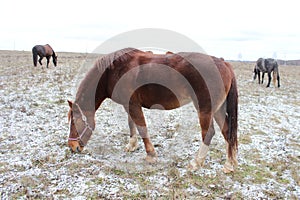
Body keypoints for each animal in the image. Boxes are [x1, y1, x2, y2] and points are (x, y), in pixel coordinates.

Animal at [68, 47, 239, 173]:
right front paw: (132, 145)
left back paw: (196, 163)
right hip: (218, 110)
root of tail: (224, 64)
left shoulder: (133, 105)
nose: (72, 147)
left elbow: (141, 127)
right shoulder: (129, 104)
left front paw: (151, 155)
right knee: (227, 132)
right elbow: (132, 124)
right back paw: (229, 165)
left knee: (208, 133)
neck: (113, 70)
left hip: (205, 109)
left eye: (75, 122)